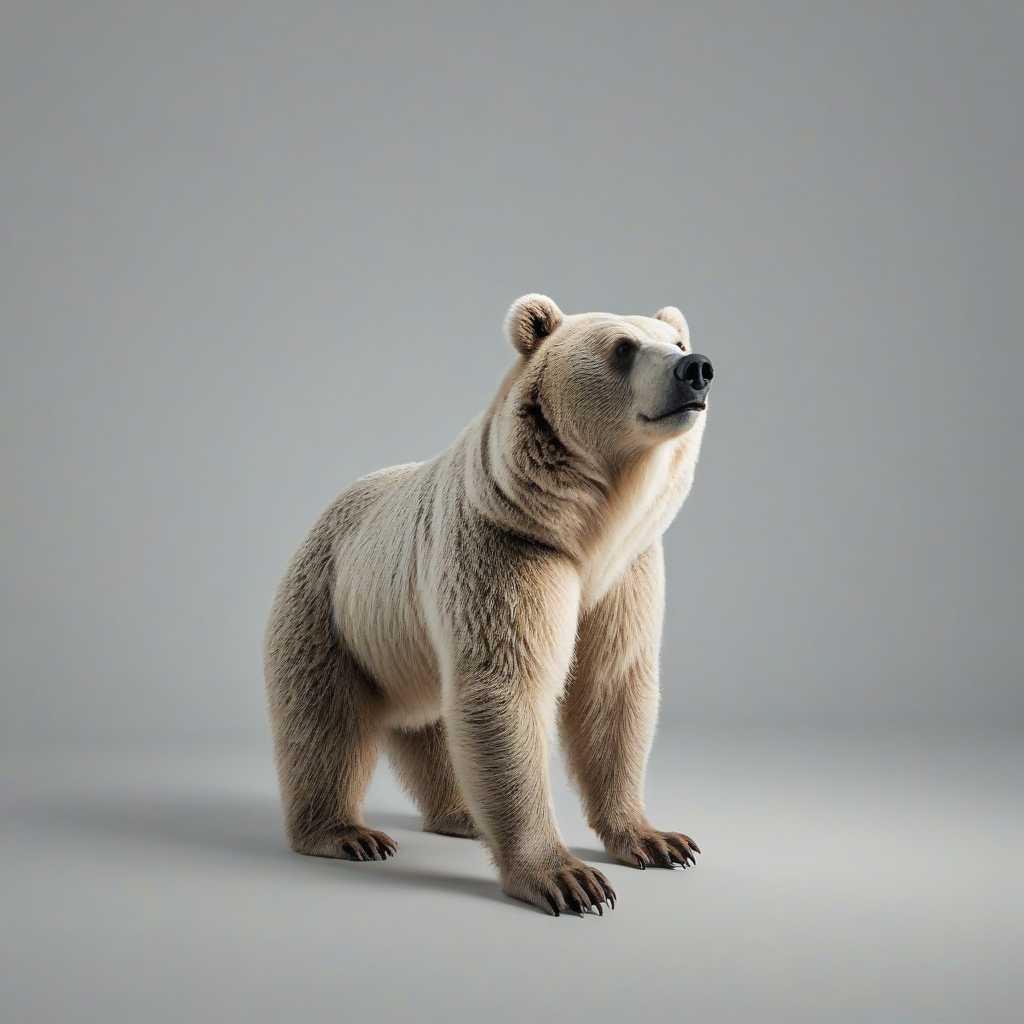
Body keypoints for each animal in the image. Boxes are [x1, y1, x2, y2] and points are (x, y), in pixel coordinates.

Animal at [264, 294, 714, 915]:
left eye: (674, 342)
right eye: (623, 348)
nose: (695, 368)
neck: (587, 528)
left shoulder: (627, 572)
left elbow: (612, 685)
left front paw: (658, 839)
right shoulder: (506, 549)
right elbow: (507, 686)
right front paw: (569, 879)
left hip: (408, 642)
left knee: (434, 724)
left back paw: (462, 815)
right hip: (329, 604)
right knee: (323, 719)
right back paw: (345, 833)